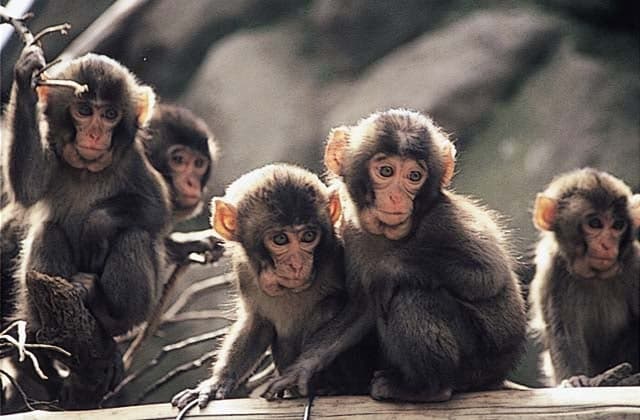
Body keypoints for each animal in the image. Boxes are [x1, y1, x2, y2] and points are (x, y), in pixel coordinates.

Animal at [171, 164, 377, 409]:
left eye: (308, 236)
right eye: (280, 239)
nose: (297, 264)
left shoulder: (346, 247)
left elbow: (363, 306)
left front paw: (301, 369)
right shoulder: (244, 270)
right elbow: (256, 323)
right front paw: (217, 383)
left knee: (329, 307)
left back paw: (332, 388)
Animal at [263, 109, 527, 402]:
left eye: (414, 176)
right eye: (386, 171)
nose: (397, 197)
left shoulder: (447, 219)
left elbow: (487, 274)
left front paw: (388, 269)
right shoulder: (351, 233)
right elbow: (362, 307)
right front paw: (303, 366)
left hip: (480, 362)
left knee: (410, 297)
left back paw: (428, 389)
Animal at [528, 168, 640, 387]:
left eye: (618, 225)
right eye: (595, 223)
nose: (607, 245)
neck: (595, 276)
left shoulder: (636, 262)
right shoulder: (554, 272)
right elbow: (564, 332)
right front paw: (575, 379)